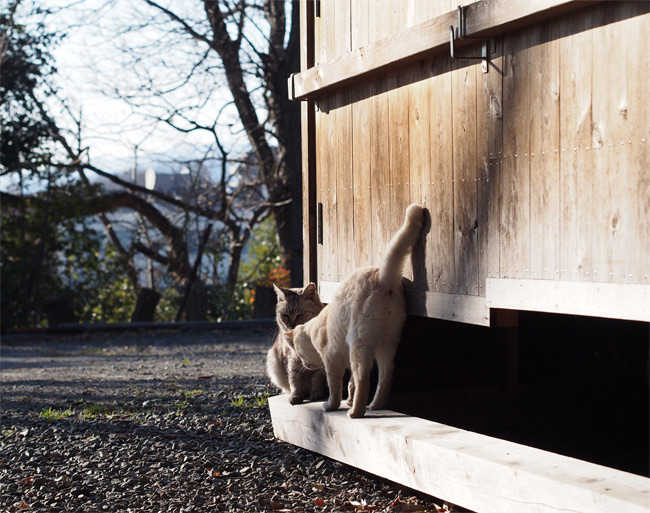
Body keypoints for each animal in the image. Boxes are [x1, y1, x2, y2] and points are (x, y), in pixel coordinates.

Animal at [284, 203, 426, 416]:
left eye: (300, 354)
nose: (306, 365)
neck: (315, 327)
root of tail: (382, 278)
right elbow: (350, 384)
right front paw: (348, 400)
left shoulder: (332, 360)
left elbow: (335, 388)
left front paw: (330, 406)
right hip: (387, 345)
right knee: (386, 375)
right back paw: (375, 405)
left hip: (359, 345)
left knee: (363, 380)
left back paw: (356, 412)